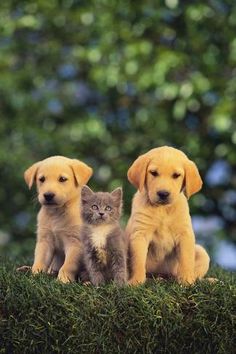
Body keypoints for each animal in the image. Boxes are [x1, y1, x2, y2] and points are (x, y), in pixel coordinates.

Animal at [23, 156, 92, 284]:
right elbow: (40, 261)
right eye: (42, 179)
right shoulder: (45, 240)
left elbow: (68, 265)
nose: (48, 195)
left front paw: (63, 280)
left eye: (62, 179)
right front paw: (34, 277)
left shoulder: (76, 243)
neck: (56, 214)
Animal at [126, 145, 209, 286]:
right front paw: (136, 281)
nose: (163, 194)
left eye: (176, 175)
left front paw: (186, 281)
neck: (163, 210)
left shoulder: (185, 234)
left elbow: (186, 260)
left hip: (201, 253)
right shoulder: (140, 234)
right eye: (153, 173)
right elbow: (138, 260)